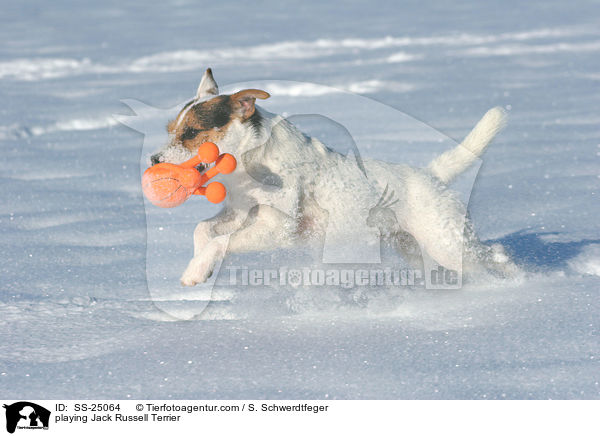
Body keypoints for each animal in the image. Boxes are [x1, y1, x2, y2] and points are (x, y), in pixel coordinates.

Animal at [150, 68, 516, 286]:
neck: (252, 160)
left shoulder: (278, 228)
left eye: (192, 133)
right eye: (171, 130)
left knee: (490, 258)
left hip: (446, 243)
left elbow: (220, 242)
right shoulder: (238, 213)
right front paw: (199, 262)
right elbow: (203, 230)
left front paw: (197, 269)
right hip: (415, 247)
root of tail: (431, 175)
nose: (154, 160)